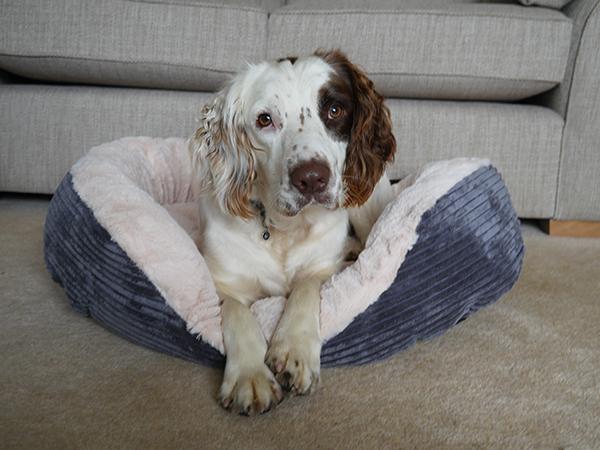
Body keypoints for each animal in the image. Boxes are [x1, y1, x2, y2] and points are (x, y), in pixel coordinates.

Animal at [188, 49, 394, 414]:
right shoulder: (224, 282)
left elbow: (305, 288)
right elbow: (236, 312)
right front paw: (250, 374)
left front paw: (294, 348)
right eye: (264, 120)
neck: (284, 228)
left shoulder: (322, 268)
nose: (311, 178)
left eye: (335, 110)